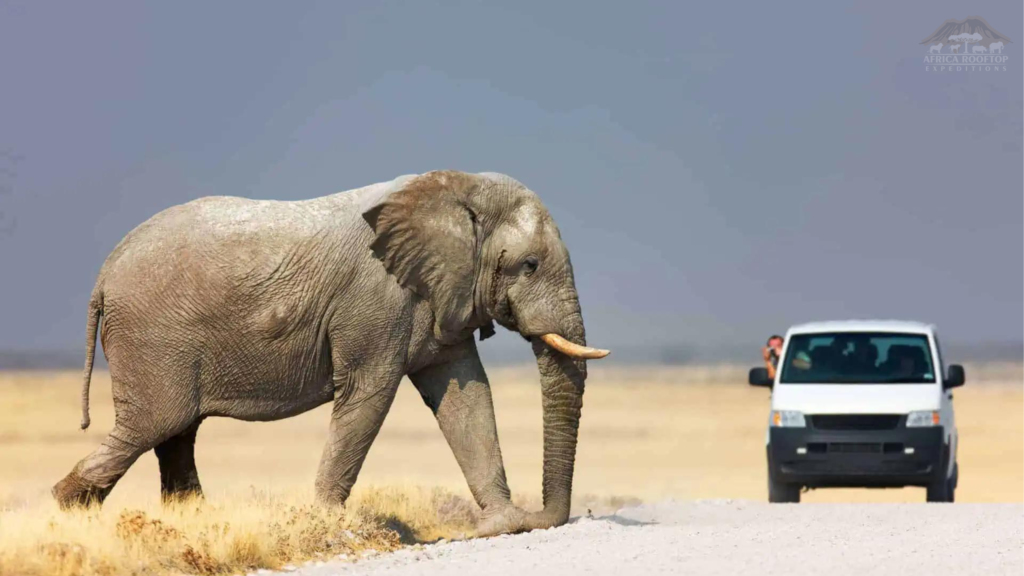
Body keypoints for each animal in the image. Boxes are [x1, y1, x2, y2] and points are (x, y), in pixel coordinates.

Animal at [51, 169, 606, 532]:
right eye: (529, 265)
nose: (542, 518)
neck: (457, 187)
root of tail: (104, 276)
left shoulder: (438, 295)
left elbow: (465, 396)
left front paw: (501, 526)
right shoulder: (376, 300)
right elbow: (370, 396)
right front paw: (326, 522)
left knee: (174, 433)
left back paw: (192, 520)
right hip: (152, 338)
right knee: (154, 425)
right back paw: (64, 514)